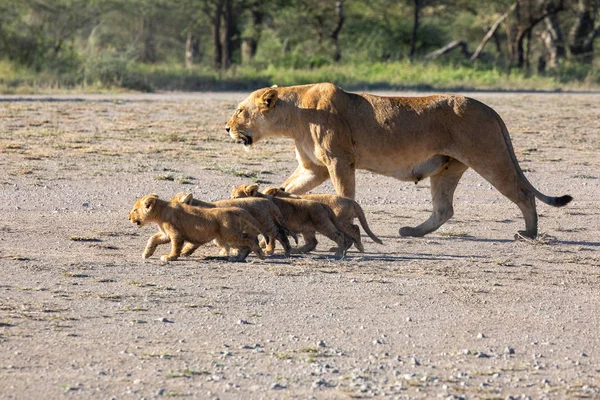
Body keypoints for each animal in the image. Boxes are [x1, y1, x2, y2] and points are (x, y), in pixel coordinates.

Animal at [225, 81, 572, 238]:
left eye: (240, 110)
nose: (226, 128)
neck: (295, 116)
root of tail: (491, 108)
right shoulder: (315, 168)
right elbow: (288, 187)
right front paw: (269, 196)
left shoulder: (339, 160)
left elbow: (344, 195)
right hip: (447, 168)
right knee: (444, 209)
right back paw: (413, 232)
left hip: (490, 157)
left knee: (524, 194)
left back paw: (529, 233)